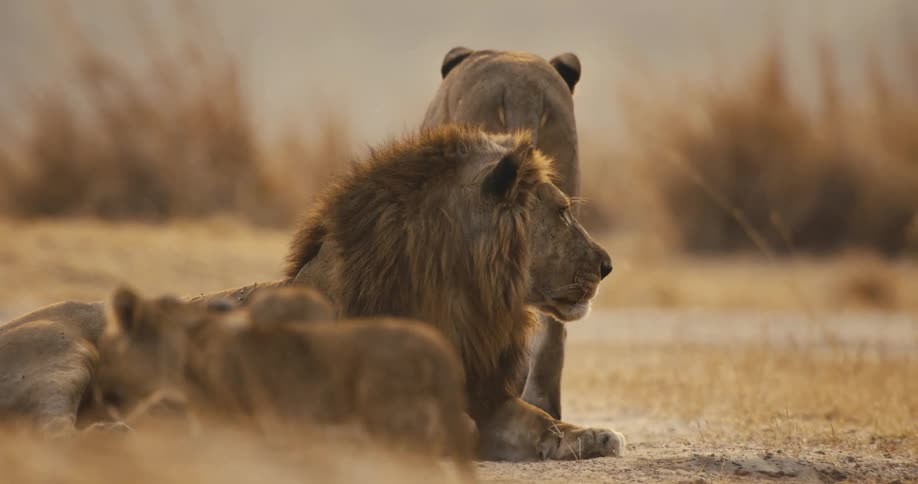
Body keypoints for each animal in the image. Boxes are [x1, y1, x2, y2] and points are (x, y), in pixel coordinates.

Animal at [286, 125, 623, 461]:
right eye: (562, 212)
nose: (607, 266)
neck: (465, 301)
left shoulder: (485, 394)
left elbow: (541, 420)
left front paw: (598, 436)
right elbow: (452, 422)